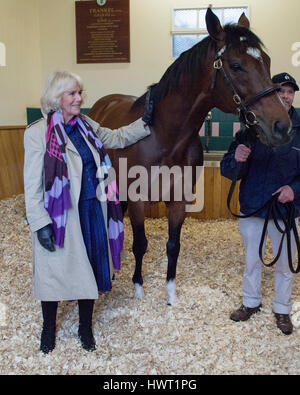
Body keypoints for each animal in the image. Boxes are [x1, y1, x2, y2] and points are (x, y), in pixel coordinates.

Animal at [88, 9, 290, 306]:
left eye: (266, 61)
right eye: (236, 65)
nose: (282, 126)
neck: (164, 137)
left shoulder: (179, 201)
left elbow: (173, 245)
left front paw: (170, 293)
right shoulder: (137, 200)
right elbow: (140, 243)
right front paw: (138, 288)